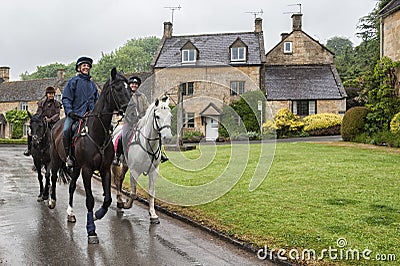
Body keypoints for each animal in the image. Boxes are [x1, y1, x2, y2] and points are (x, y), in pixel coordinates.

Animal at [47, 67, 130, 244]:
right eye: (118, 88)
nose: (129, 108)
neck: (96, 132)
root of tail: (56, 126)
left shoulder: (104, 169)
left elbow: (107, 199)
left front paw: (98, 214)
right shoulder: (87, 170)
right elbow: (90, 200)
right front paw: (91, 230)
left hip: (76, 167)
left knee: (71, 186)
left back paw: (70, 213)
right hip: (57, 160)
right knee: (53, 177)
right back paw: (51, 201)